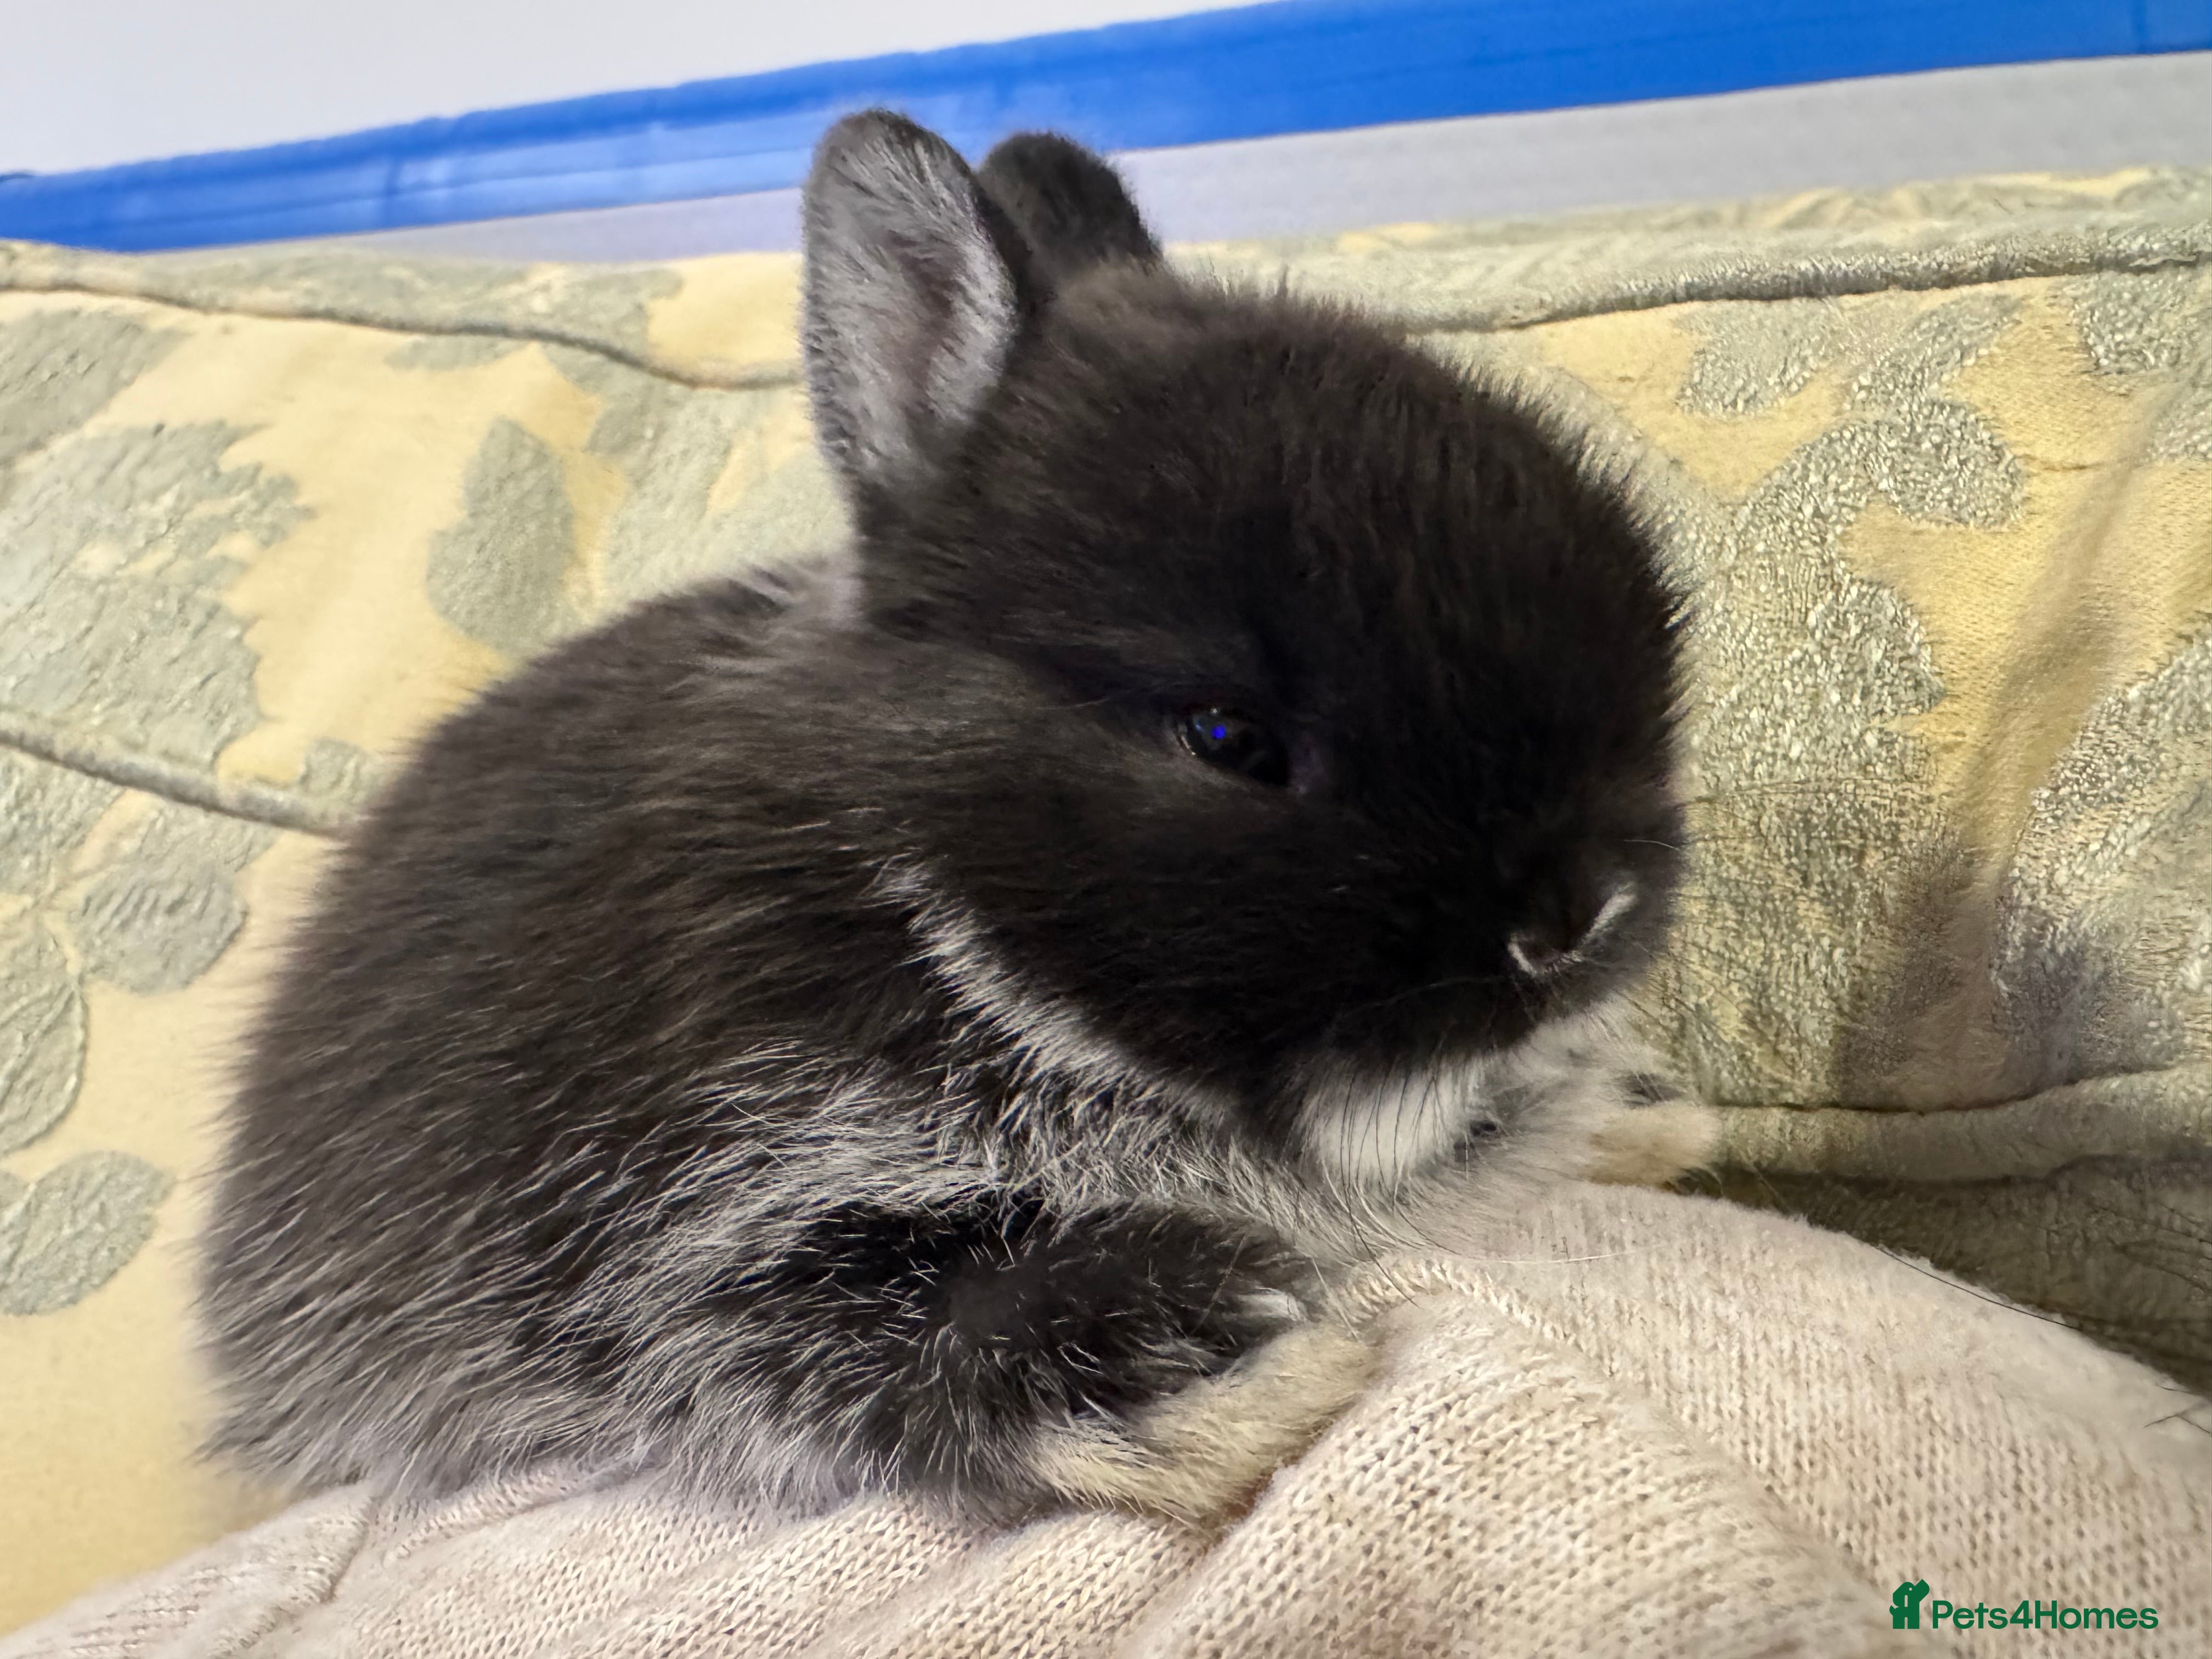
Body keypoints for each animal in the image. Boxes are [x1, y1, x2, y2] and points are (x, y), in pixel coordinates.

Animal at [199, 111, 1694, 1530]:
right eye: (1229, 742)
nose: (1578, 920)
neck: (925, 900)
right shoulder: (713, 1228)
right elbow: (906, 1330)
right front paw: (1242, 1386)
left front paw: (1646, 1126)